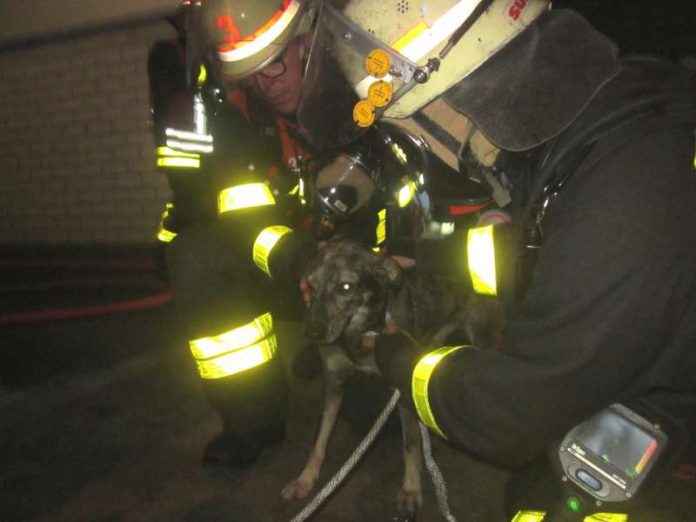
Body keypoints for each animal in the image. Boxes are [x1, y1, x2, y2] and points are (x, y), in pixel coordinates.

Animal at [280, 240, 502, 516]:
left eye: (345, 287)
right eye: (311, 286)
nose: (312, 333)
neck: (360, 334)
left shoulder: (403, 387)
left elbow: (410, 442)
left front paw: (411, 489)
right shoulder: (333, 383)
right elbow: (319, 440)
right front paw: (305, 479)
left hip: (480, 339)